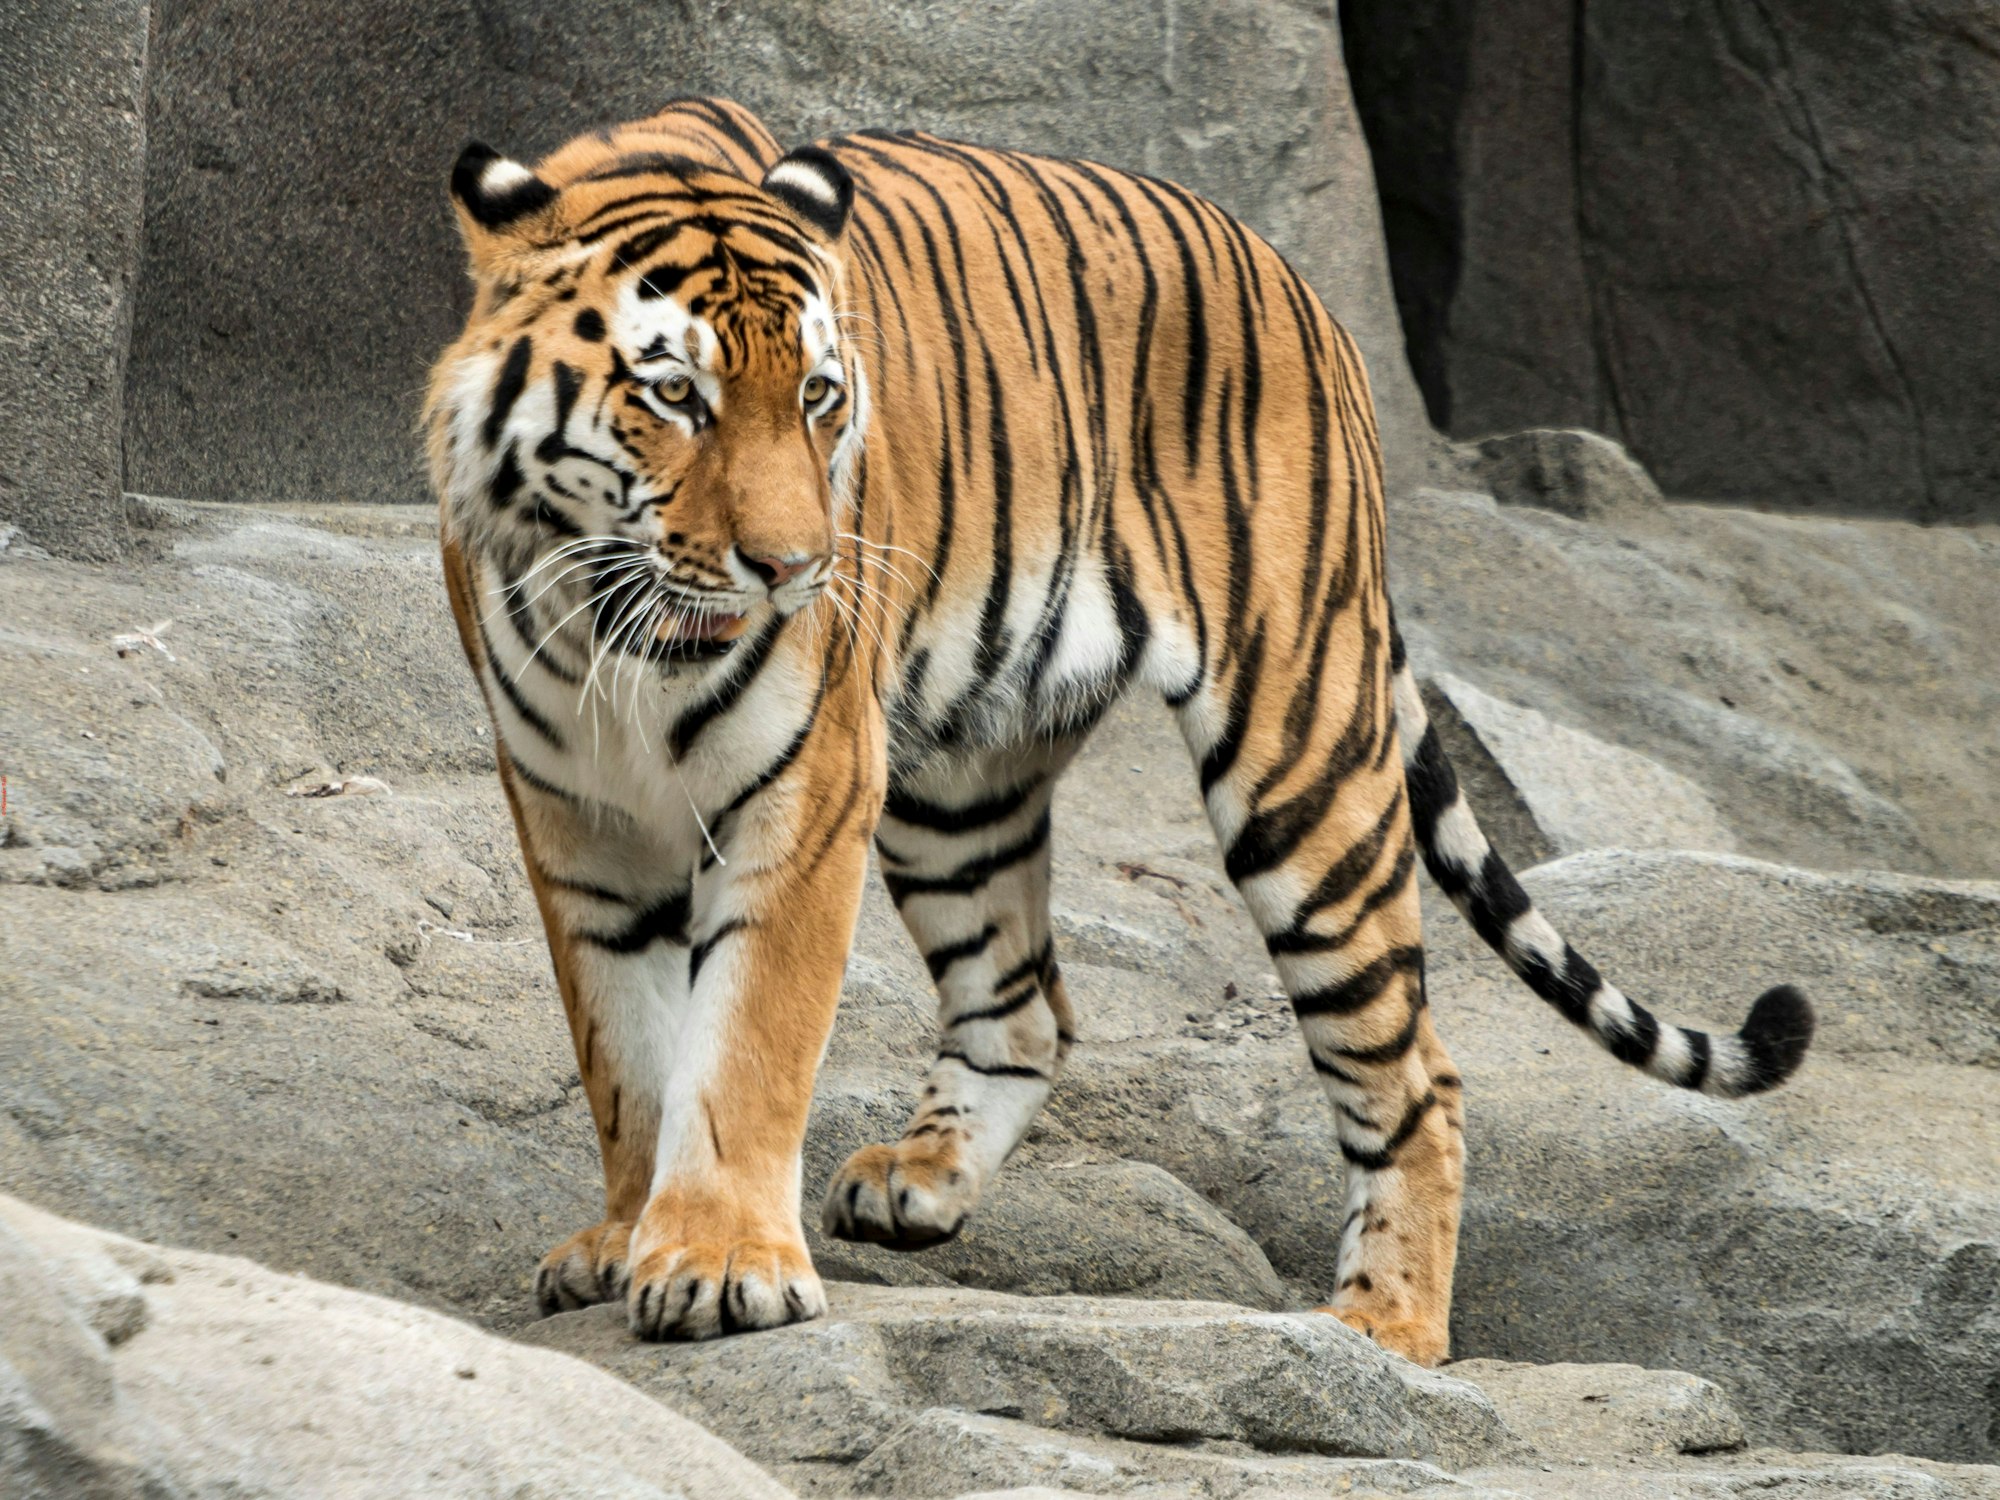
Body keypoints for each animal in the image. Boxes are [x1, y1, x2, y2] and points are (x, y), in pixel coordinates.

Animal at [424, 96, 1814, 1365]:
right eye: (675, 396)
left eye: (817, 396)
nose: (795, 569)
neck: (618, 624)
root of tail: (1302, 286)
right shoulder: (573, 820)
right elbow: (625, 1052)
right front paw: (626, 1239)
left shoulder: (805, 789)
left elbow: (745, 1043)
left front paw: (720, 1267)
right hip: (957, 789)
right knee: (1024, 1004)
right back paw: (919, 1182)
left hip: (1299, 757)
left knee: (1414, 1072)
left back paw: (1386, 1327)